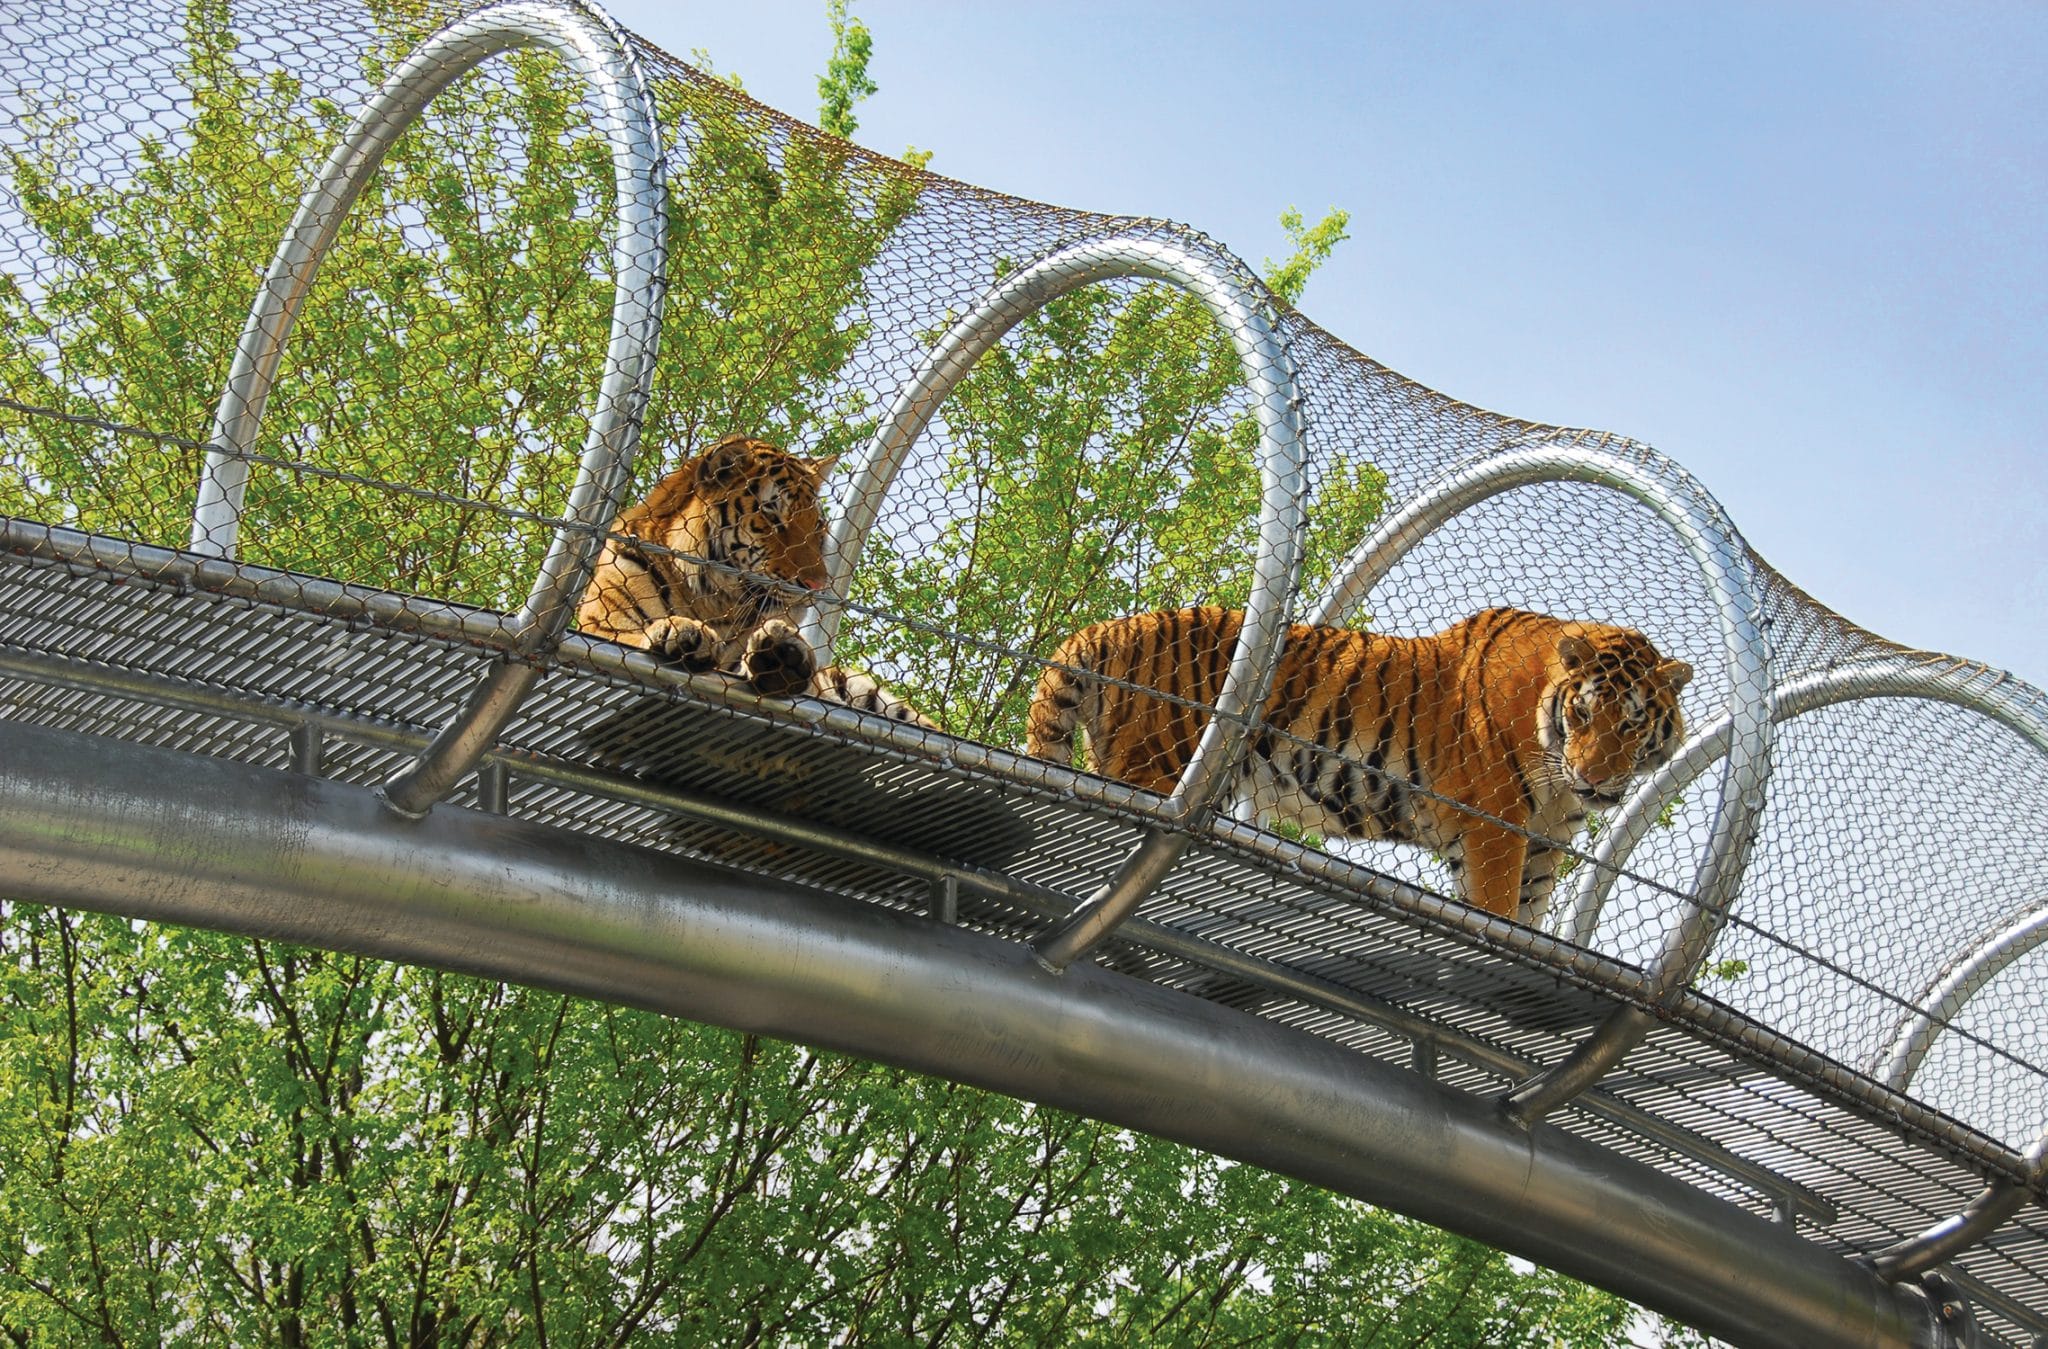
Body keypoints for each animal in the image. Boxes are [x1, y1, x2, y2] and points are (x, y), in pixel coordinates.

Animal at [576, 433, 935, 729]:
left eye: (817, 525)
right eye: (773, 516)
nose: (817, 586)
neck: (709, 599)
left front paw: (782, 655)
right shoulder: (599, 627)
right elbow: (628, 638)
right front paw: (682, 631)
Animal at [1026, 605, 1692, 925]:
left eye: (1631, 723)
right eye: (1583, 714)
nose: (1598, 779)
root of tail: (1107, 629)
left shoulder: (1546, 846)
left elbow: (1527, 922)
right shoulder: (1495, 829)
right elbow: (1496, 911)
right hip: (1154, 767)